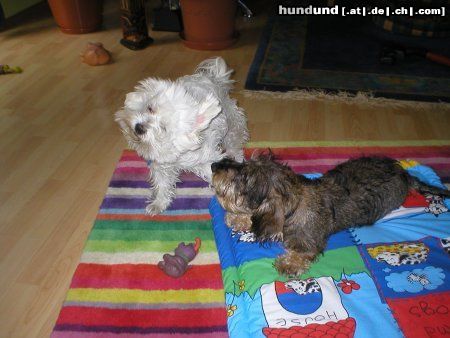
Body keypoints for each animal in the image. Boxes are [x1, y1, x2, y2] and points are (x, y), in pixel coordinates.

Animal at [116, 56, 248, 214]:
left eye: (163, 128)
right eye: (150, 108)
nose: (139, 127)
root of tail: (215, 78)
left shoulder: (208, 160)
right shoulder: (161, 165)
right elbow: (162, 184)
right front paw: (159, 203)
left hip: (233, 128)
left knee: (236, 147)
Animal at [211, 154, 450, 276]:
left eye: (243, 177)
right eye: (243, 164)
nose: (214, 165)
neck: (295, 203)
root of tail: (405, 173)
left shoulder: (309, 244)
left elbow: (300, 253)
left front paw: (288, 264)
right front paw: (237, 218)